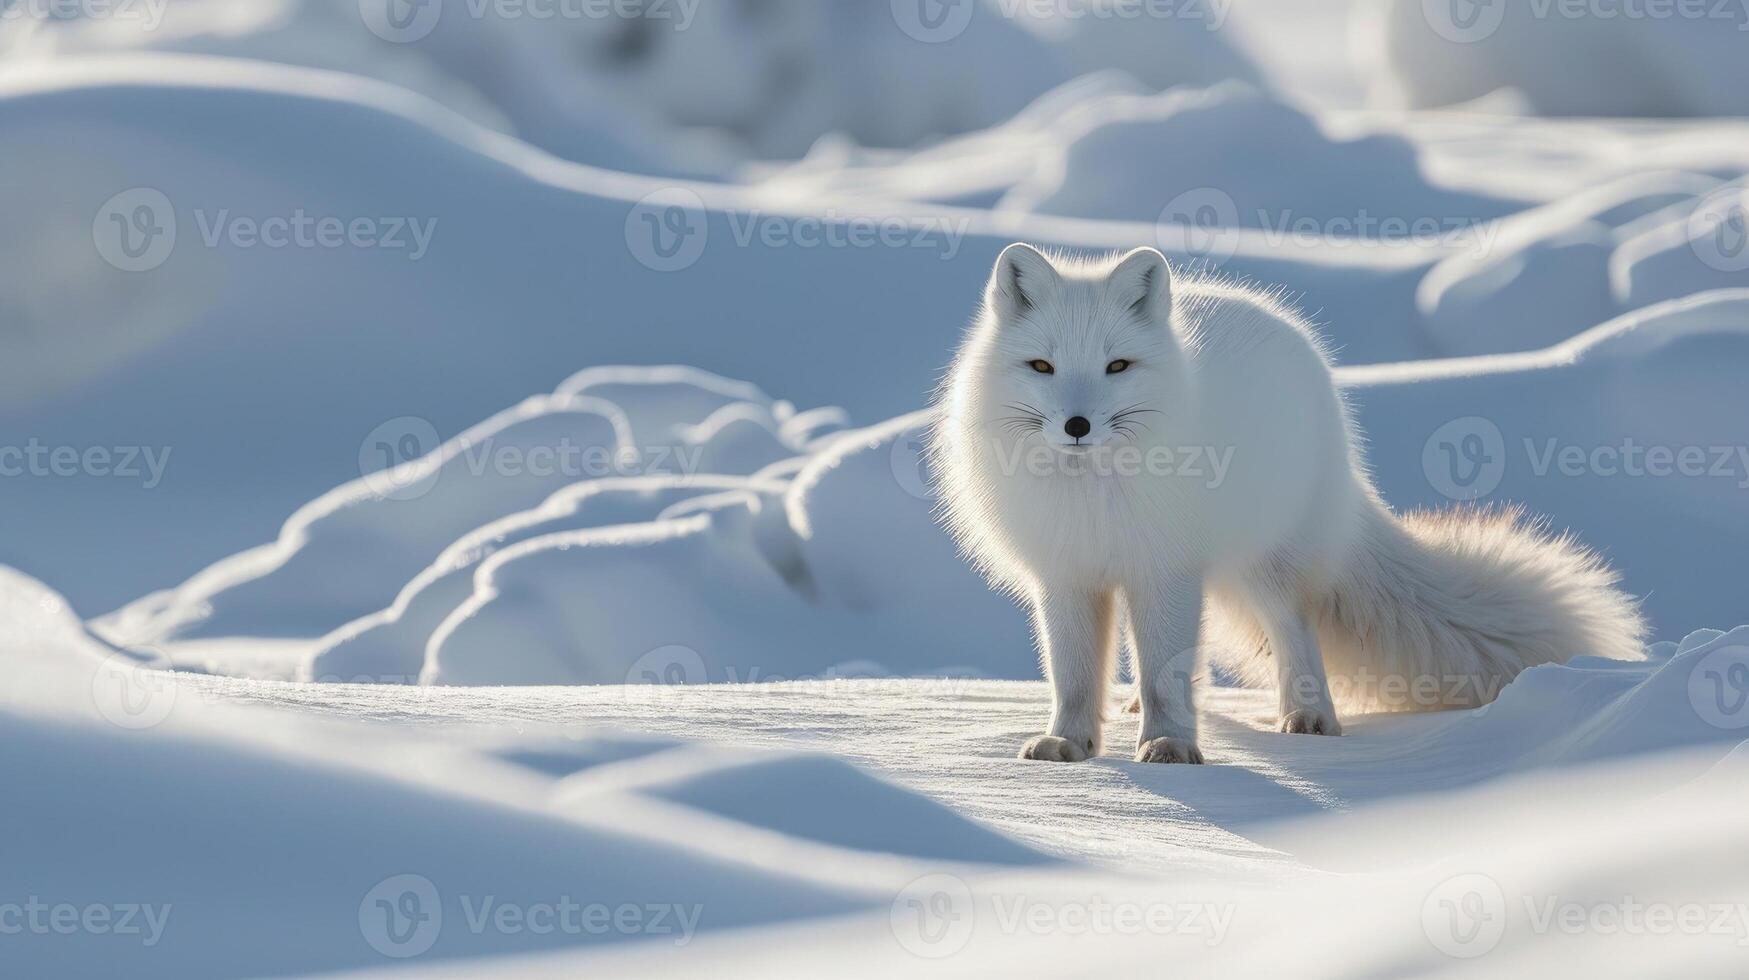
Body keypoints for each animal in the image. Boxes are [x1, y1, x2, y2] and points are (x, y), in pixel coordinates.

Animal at [937, 245, 1644, 766]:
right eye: (1041, 366)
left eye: (1117, 366)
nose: (1078, 425)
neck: (1092, 495)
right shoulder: (1066, 575)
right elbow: (1076, 673)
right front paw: (1071, 744)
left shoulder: (1165, 570)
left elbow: (1165, 669)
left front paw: (1170, 745)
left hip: (1264, 569)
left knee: (1293, 631)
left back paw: (1309, 717)